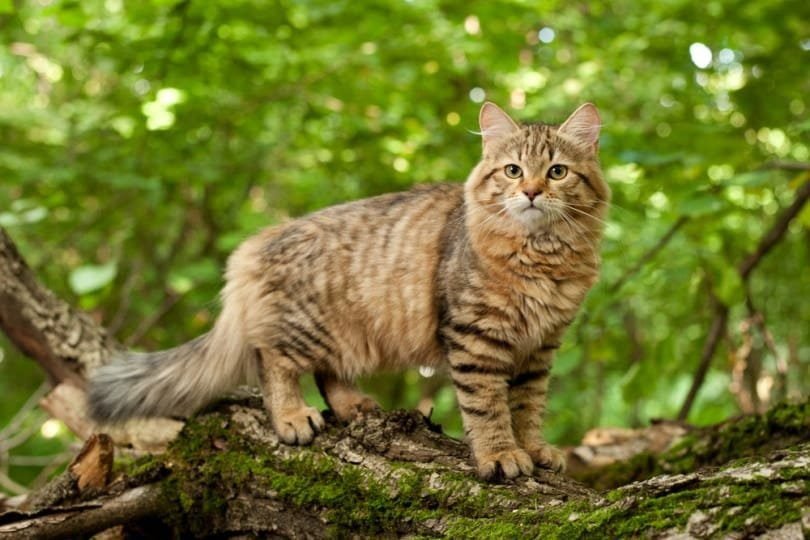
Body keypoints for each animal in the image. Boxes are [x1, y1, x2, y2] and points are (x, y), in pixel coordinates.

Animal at [88, 102, 608, 480]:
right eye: (513, 171)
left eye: (557, 172)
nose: (533, 193)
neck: (540, 255)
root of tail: (257, 243)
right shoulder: (476, 338)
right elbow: (488, 408)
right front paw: (500, 455)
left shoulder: (539, 348)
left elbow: (527, 407)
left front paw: (535, 449)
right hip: (304, 328)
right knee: (271, 360)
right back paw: (292, 417)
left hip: (349, 334)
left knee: (325, 372)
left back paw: (353, 406)